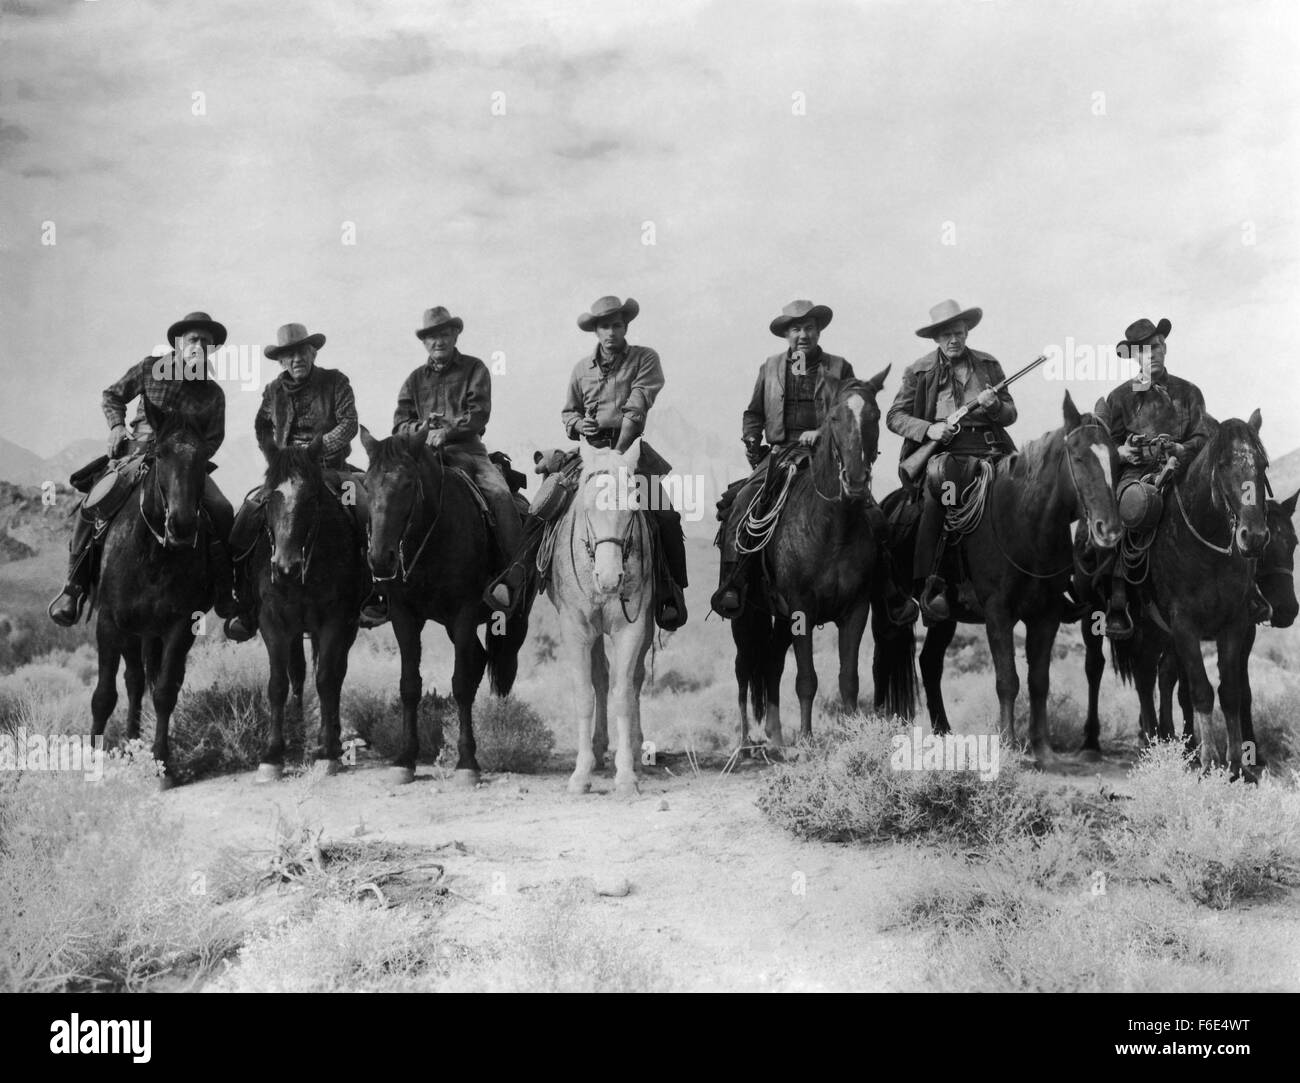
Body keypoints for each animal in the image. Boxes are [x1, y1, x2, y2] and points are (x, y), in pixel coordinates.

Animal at [249, 434, 369, 780]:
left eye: (312, 498)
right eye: (268, 498)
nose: (286, 566)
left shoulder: (335, 621)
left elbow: (327, 678)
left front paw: (326, 751)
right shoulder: (273, 622)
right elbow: (278, 684)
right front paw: (272, 754)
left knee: (335, 674)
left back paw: (330, 738)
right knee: (299, 674)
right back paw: (300, 738)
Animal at [356, 418, 527, 780]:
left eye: (408, 484)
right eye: (366, 483)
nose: (380, 559)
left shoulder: (464, 612)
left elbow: (460, 683)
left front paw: (467, 763)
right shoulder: (405, 615)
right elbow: (410, 685)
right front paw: (405, 758)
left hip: (513, 621)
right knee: (478, 660)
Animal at [548, 436, 655, 795]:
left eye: (633, 505)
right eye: (586, 506)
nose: (609, 580)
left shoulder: (631, 627)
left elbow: (623, 693)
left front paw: (626, 774)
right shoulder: (576, 628)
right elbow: (585, 694)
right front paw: (581, 774)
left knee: (634, 680)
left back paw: (634, 751)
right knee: (600, 677)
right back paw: (597, 750)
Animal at [868, 395, 1123, 759]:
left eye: (1116, 459)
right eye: (1077, 457)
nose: (1109, 530)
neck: (1025, 525)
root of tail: (888, 504)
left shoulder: (1046, 615)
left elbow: (1039, 680)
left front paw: (1042, 748)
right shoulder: (998, 613)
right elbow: (1007, 680)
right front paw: (1008, 744)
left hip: (944, 618)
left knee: (929, 663)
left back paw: (944, 732)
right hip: (885, 612)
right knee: (881, 663)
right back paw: (876, 730)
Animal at [1076, 410, 1268, 780]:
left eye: (1262, 464)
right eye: (1223, 464)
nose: (1253, 536)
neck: (1206, 547)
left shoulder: (1234, 624)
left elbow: (1230, 691)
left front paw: (1237, 767)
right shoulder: (1185, 626)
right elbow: (1201, 690)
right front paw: (1208, 762)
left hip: (1157, 633)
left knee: (1153, 674)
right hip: (1118, 625)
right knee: (1135, 676)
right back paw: (1148, 744)